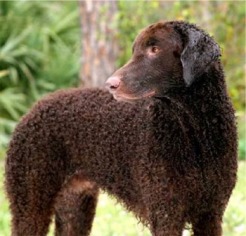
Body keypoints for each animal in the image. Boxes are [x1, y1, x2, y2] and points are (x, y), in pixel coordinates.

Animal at [5, 21, 236, 235]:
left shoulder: (210, 214)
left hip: (74, 205)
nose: (110, 84)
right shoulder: (166, 213)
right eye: (135, 50)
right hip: (31, 202)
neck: (195, 135)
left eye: (154, 49)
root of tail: (33, 109)